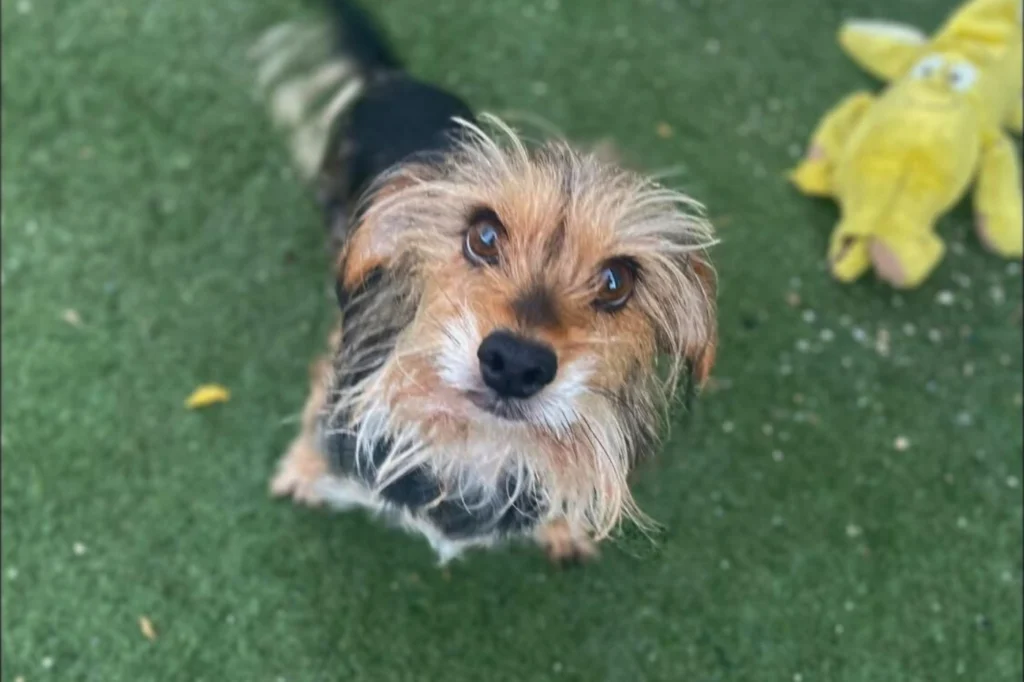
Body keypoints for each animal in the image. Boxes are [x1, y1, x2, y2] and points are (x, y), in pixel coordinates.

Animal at [251, 1, 719, 564]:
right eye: (485, 235)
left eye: (615, 281)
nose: (515, 364)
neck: (476, 442)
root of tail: (396, 80)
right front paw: (301, 471)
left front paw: (564, 526)